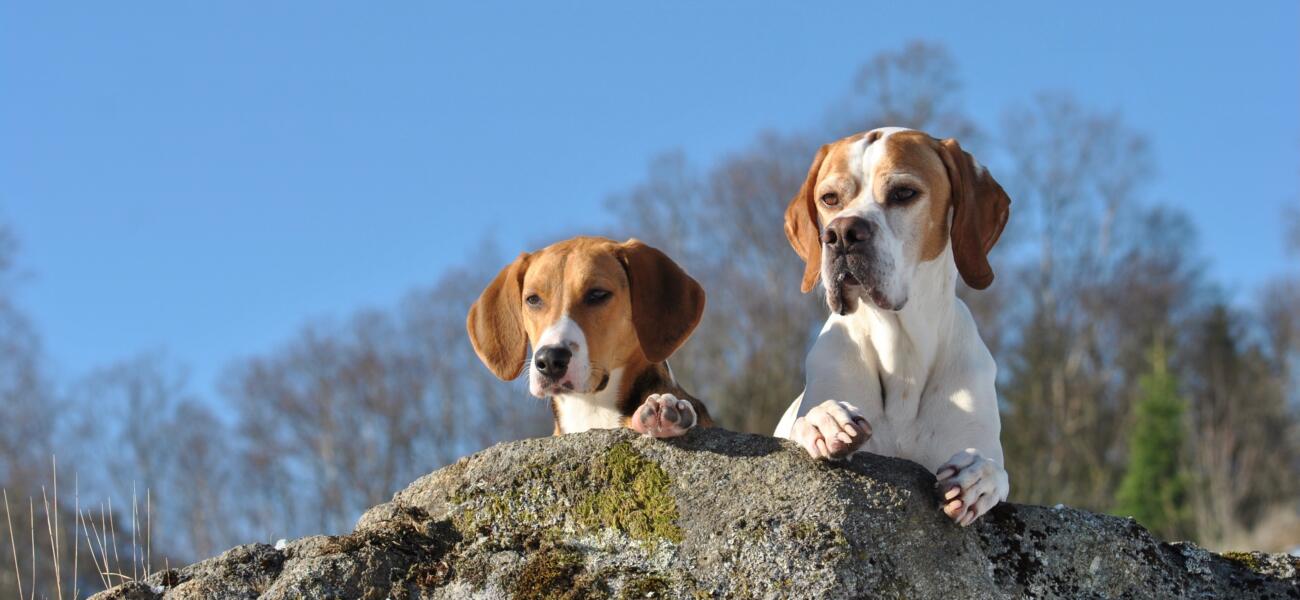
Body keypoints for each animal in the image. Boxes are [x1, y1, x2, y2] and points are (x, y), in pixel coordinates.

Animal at [769, 126, 1013, 524]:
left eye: (903, 193)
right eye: (830, 198)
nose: (841, 233)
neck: (902, 351)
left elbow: (995, 469)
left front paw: (978, 476)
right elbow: (808, 420)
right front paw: (826, 420)